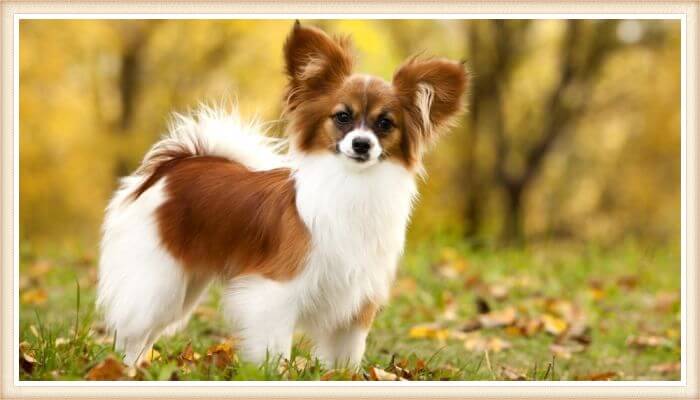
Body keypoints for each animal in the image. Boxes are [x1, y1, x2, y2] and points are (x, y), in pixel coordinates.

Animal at [97, 20, 470, 368]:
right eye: (342, 117)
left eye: (385, 124)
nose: (361, 144)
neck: (352, 184)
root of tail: (174, 166)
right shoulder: (274, 292)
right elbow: (274, 350)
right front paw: (273, 374)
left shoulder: (357, 303)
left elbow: (347, 358)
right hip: (159, 279)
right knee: (133, 331)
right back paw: (126, 370)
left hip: (185, 286)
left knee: (148, 331)